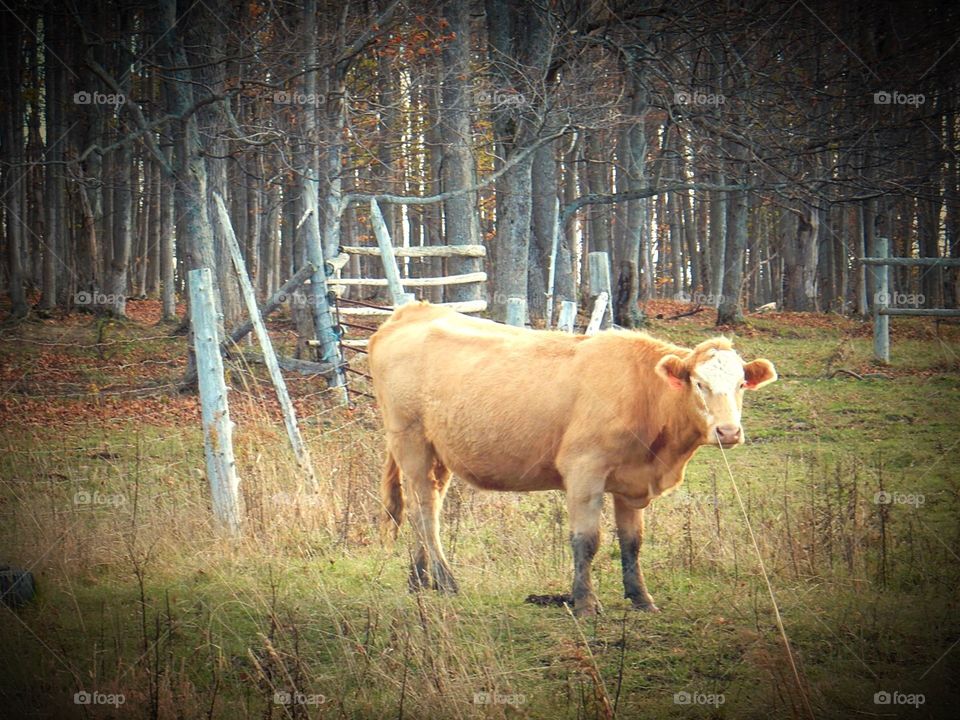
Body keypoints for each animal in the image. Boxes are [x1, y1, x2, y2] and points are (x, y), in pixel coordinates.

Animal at [368, 300, 780, 616]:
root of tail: (411, 311)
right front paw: (584, 603)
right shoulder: (584, 469)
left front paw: (641, 598)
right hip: (410, 441)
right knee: (423, 511)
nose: (728, 432)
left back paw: (420, 579)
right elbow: (586, 539)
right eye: (699, 383)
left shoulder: (630, 482)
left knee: (429, 505)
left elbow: (632, 542)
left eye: (741, 383)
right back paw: (445, 581)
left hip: (439, 453)